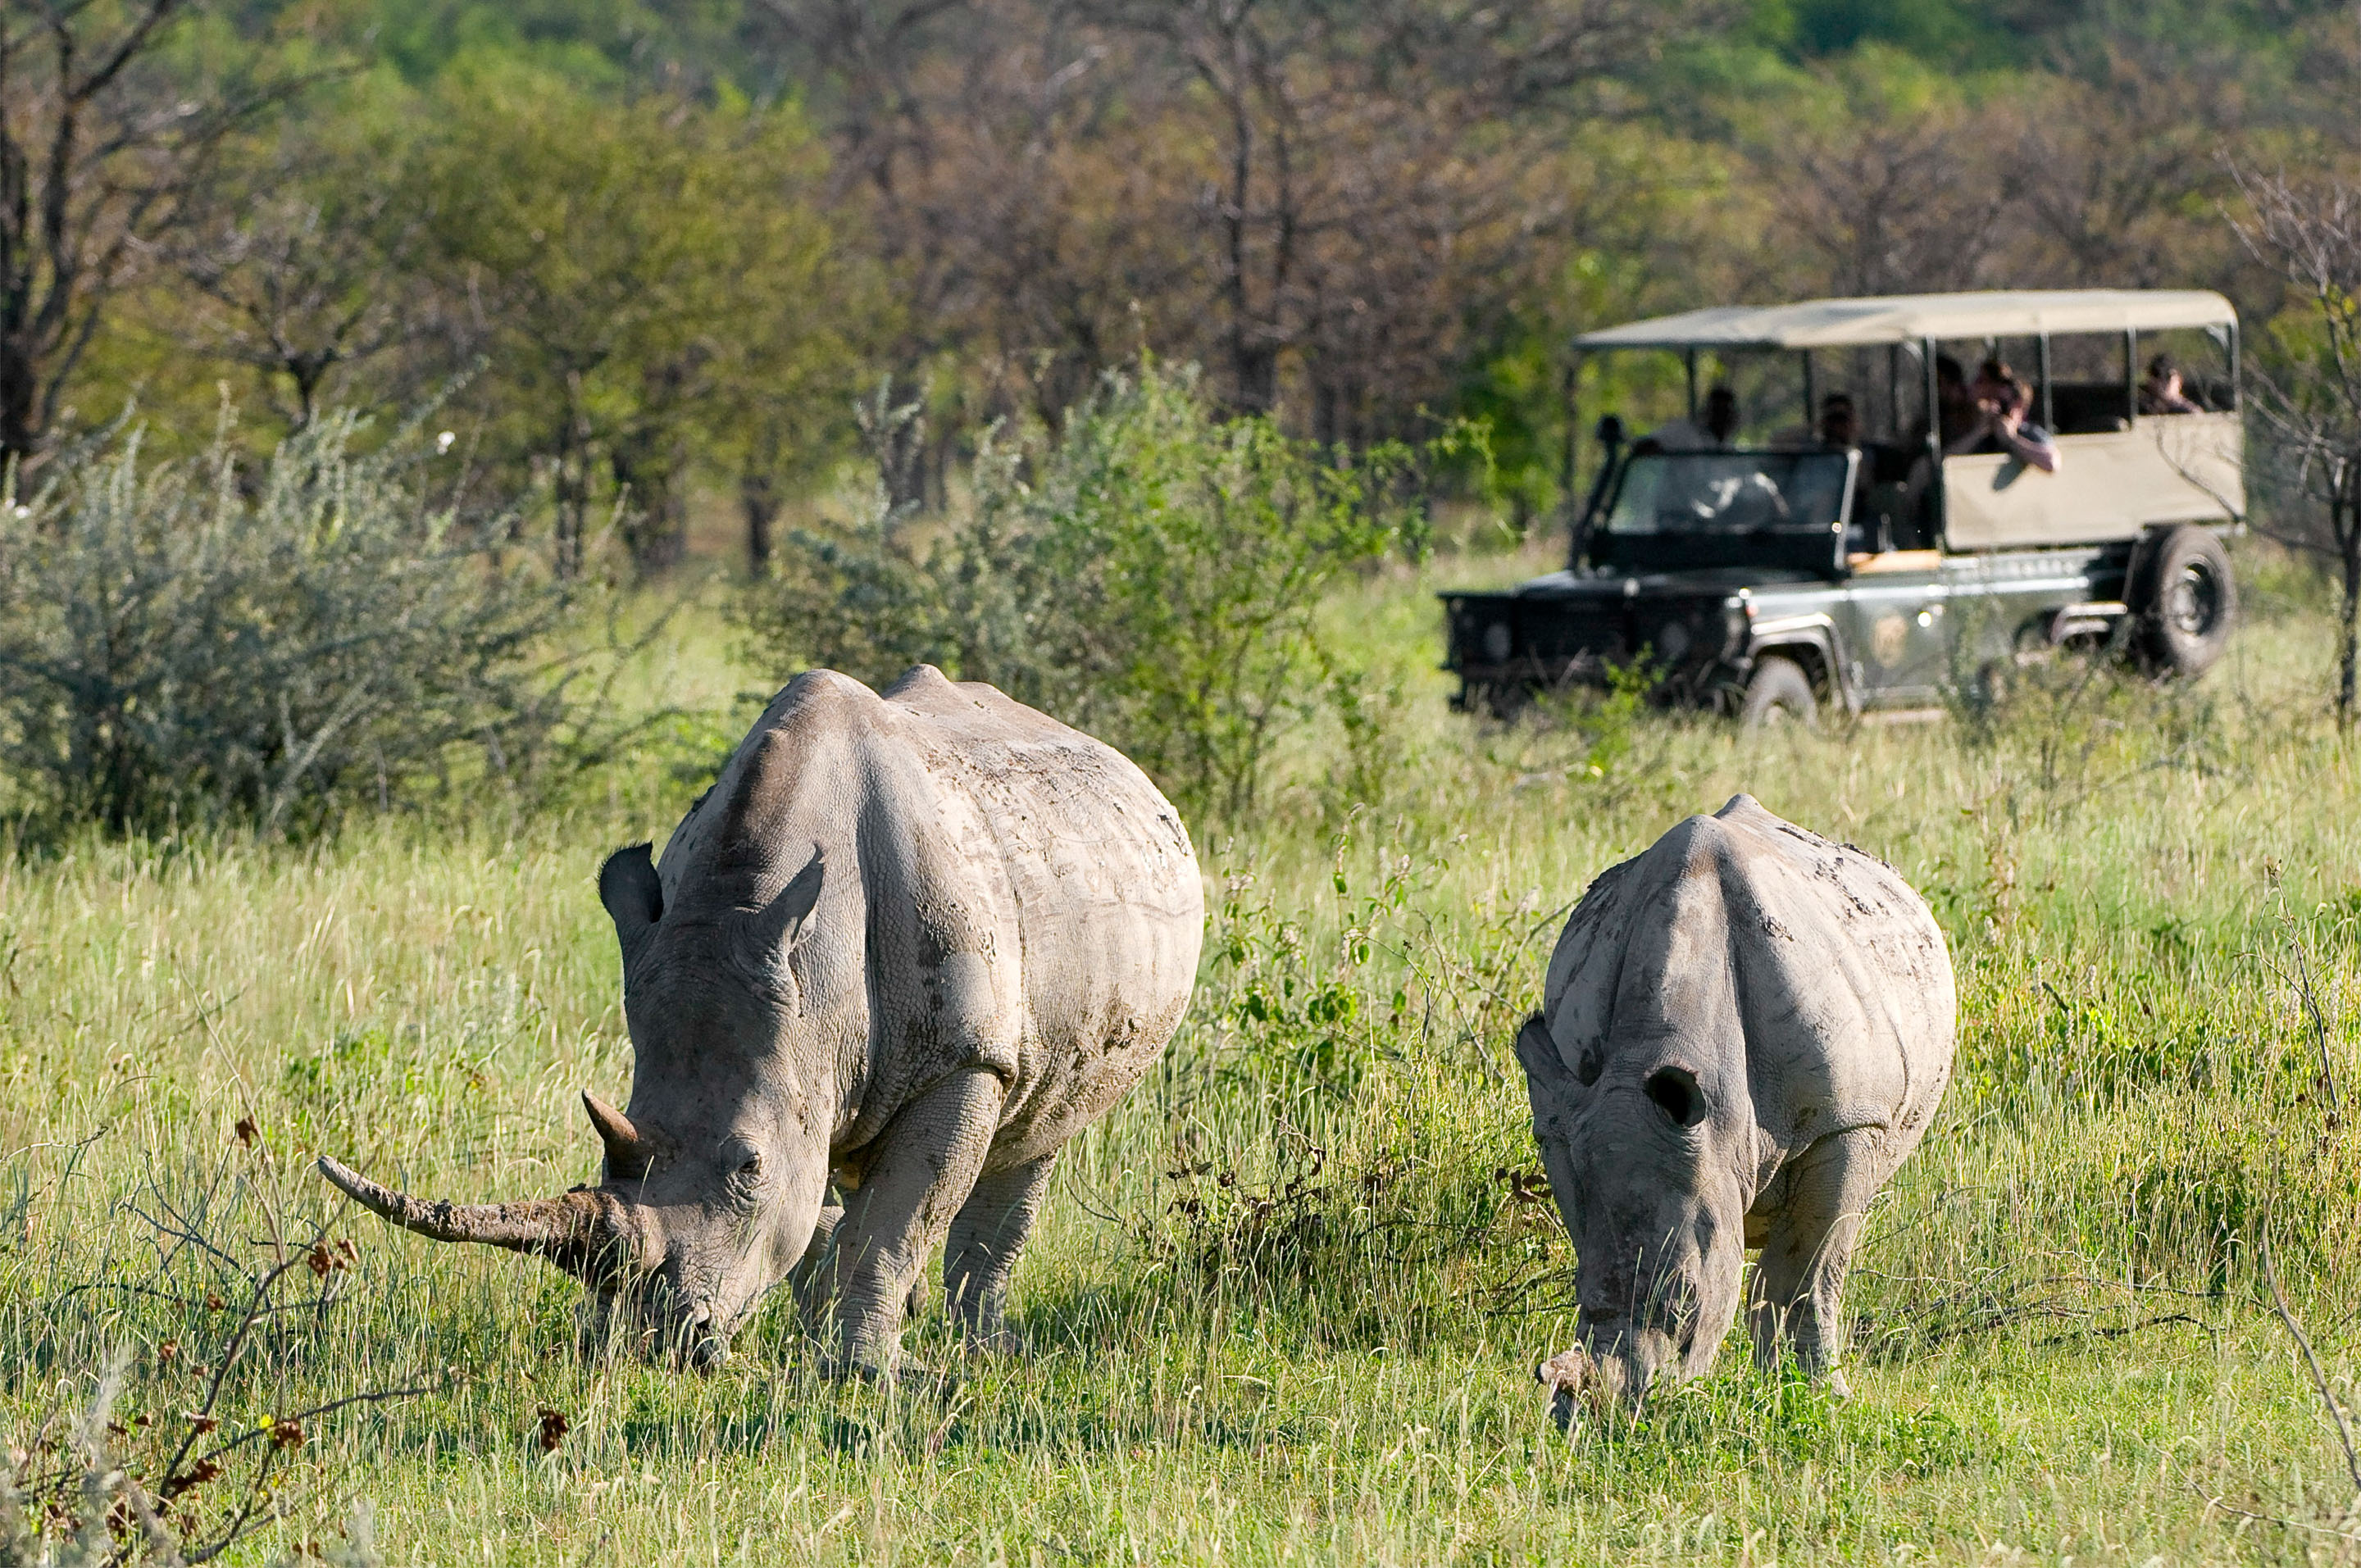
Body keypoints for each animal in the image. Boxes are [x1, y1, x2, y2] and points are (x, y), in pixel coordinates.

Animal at [320, 666, 1203, 1373]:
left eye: (748, 1165)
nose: (658, 1344)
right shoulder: (799, 1055)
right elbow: (820, 1214)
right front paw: (828, 1339)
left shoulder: (963, 1058)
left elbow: (896, 1223)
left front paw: (862, 1372)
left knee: (1038, 1130)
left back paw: (984, 1349)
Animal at [1517, 794, 1953, 1418]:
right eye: (1578, 1297)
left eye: (1686, 1306)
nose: (1613, 1418)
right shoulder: (1563, 1126)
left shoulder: (1845, 1123)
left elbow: (1806, 1271)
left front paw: (1813, 1398)